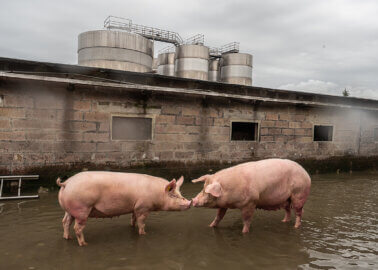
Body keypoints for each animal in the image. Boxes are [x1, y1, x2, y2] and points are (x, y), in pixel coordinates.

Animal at [56, 172, 190, 246]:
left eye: (180, 193)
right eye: (173, 195)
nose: (189, 202)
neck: (157, 193)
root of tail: (66, 183)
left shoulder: (135, 207)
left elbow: (133, 219)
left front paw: (132, 226)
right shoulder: (143, 207)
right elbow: (142, 223)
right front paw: (144, 233)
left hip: (69, 210)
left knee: (65, 222)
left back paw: (67, 238)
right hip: (82, 209)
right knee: (77, 227)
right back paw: (84, 244)